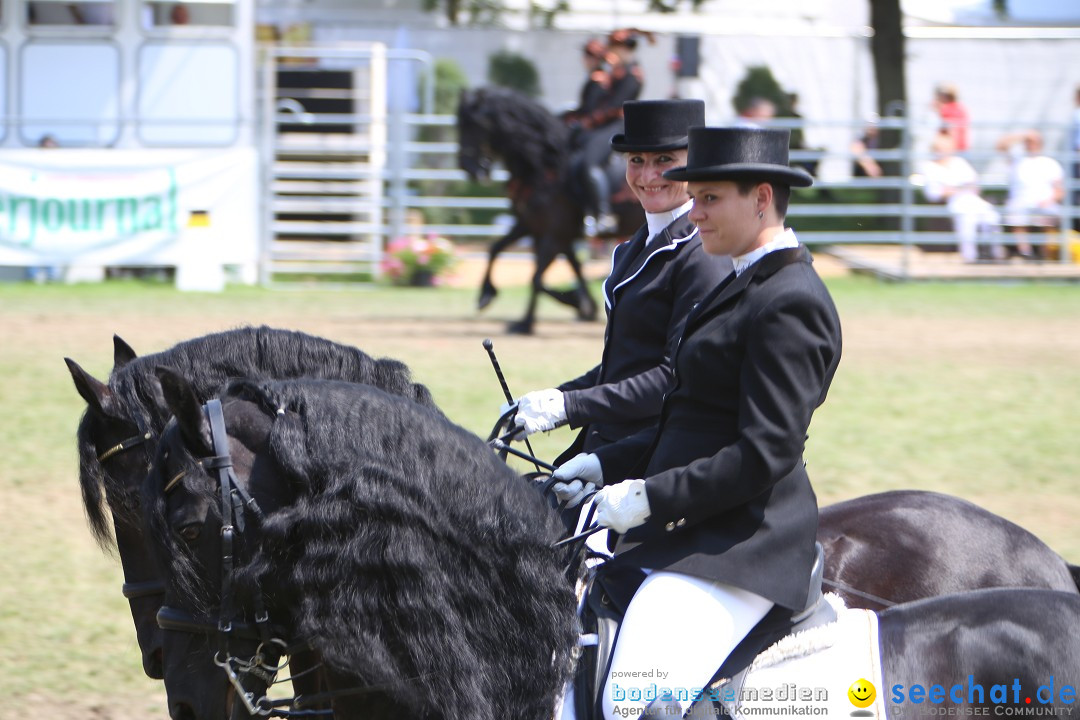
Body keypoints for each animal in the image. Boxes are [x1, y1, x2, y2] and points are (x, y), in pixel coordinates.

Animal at [453, 85, 639, 334]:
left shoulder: (554, 236)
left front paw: (528, 322)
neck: (545, 164)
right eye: (459, 124)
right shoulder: (535, 227)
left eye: (476, 124)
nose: (468, 167)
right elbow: (496, 249)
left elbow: (537, 278)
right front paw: (486, 294)